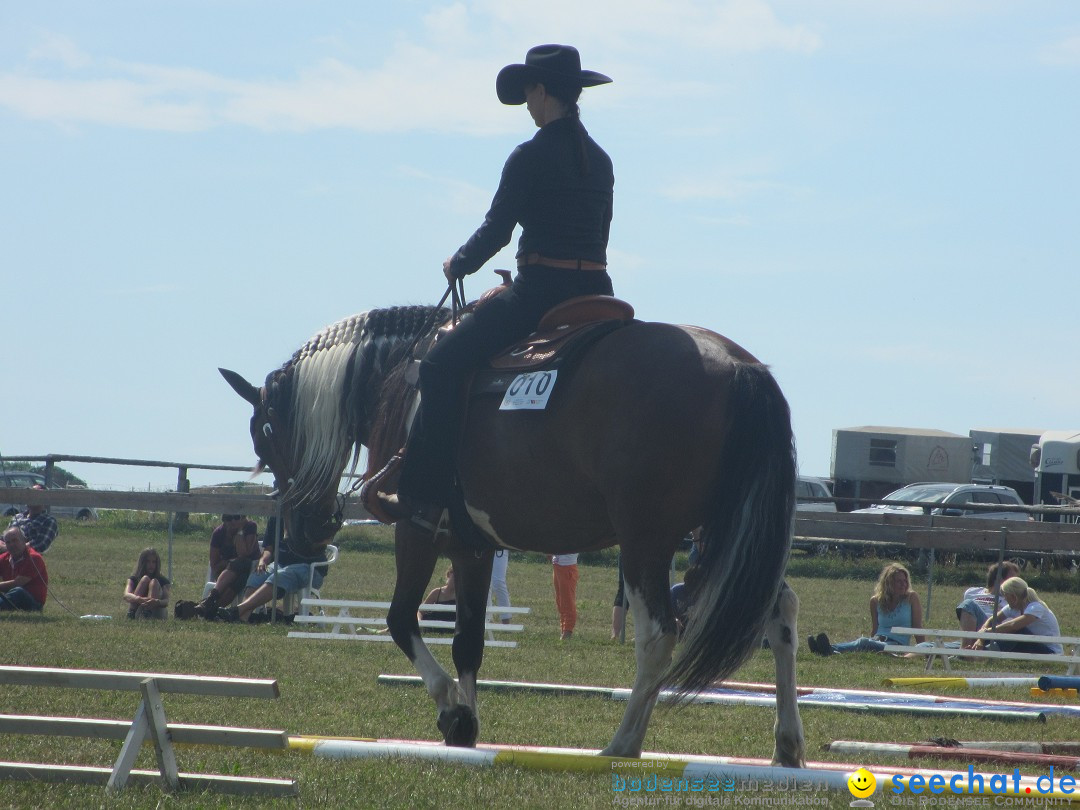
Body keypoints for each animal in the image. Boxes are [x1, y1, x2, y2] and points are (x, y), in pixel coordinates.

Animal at [219, 304, 807, 768]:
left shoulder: (417, 530)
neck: (401, 383)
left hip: (649, 540)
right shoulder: (472, 546)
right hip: (732, 535)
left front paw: (452, 711)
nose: (306, 531)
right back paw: (786, 746)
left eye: (265, 435)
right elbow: (468, 639)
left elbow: (401, 619)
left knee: (659, 635)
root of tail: (737, 365)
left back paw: (623, 744)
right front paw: (467, 724)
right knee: (780, 617)